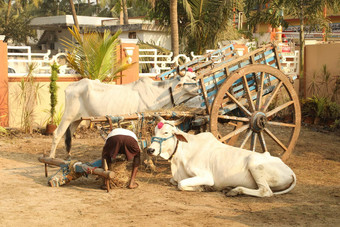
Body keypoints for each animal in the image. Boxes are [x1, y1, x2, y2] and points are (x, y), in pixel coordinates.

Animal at [147, 118, 296, 198]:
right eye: (155, 131)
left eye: (166, 132)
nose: (150, 150)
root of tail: (291, 172)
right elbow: (173, 181)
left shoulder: (206, 176)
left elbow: (181, 184)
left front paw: (203, 188)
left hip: (254, 163)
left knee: (266, 191)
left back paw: (235, 191)